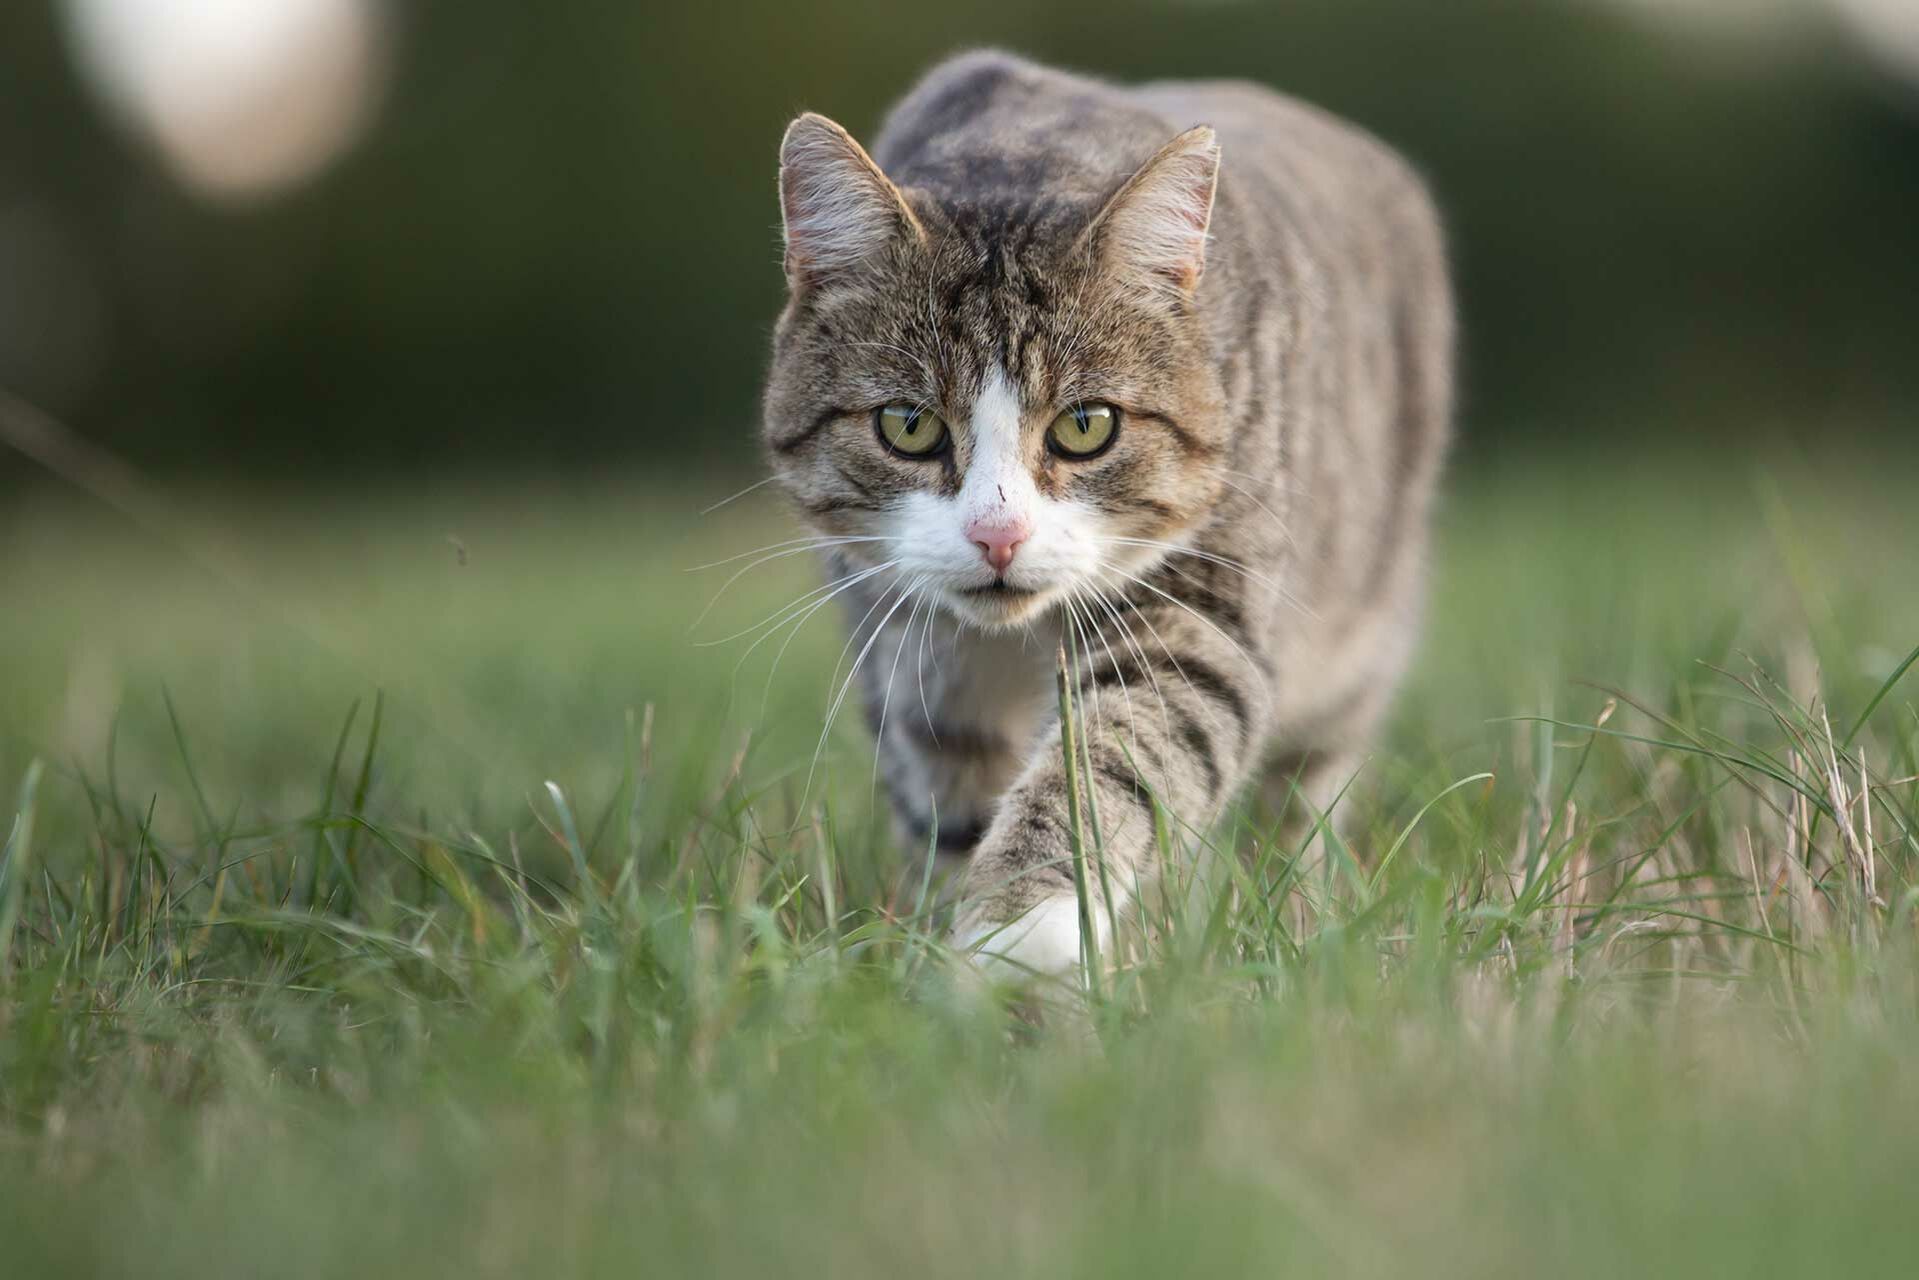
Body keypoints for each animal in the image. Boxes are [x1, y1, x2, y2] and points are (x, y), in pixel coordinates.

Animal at [756, 50, 1443, 982]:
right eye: (907, 425)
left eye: (1086, 426)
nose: (997, 535)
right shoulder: (908, 648)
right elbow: (949, 794)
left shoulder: (1203, 597)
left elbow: (1119, 755)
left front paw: (1023, 929)